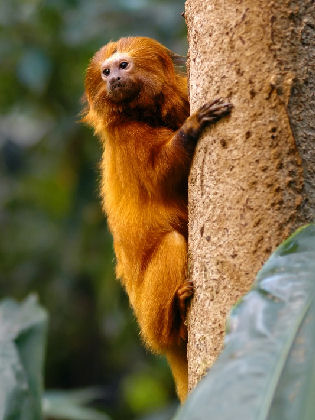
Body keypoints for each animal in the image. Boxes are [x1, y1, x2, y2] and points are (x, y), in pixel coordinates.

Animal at [82, 37, 232, 402]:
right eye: (105, 72)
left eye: (123, 66)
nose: (113, 79)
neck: (146, 112)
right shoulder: (126, 137)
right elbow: (160, 174)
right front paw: (192, 128)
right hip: (147, 316)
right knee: (173, 242)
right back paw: (175, 316)